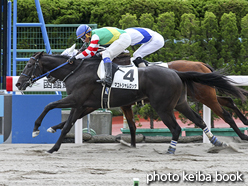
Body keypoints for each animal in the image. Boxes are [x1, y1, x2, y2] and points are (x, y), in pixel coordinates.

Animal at [16, 51, 247, 153]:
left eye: (28, 66)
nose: (18, 83)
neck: (77, 71)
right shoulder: (84, 103)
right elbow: (67, 124)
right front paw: (53, 141)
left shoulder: (78, 100)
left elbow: (49, 106)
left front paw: (37, 130)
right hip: (182, 102)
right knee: (202, 118)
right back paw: (218, 141)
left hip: (173, 104)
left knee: (194, 122)